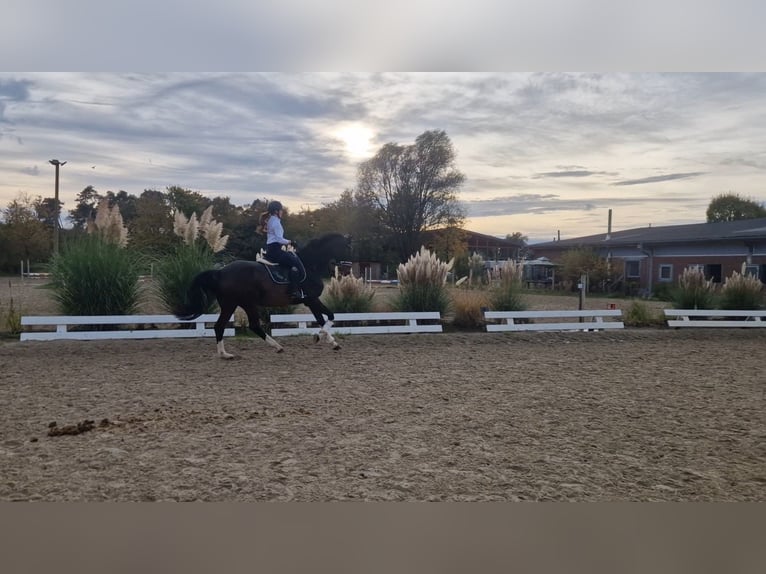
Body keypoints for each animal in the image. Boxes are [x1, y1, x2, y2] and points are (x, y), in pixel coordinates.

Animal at [174, 232, 352, 358]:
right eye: (348, 247)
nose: (348, 269)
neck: (310, 265)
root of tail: (220, 272)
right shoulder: (312, 299)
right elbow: (330, 316)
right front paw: (320, 336)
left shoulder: (309, 301)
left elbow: (322, 319)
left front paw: (331, 342)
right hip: (245, 303)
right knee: (253, 325)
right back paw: (276, 347)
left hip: (231, 304)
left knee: (220, 326)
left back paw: (225, 354)